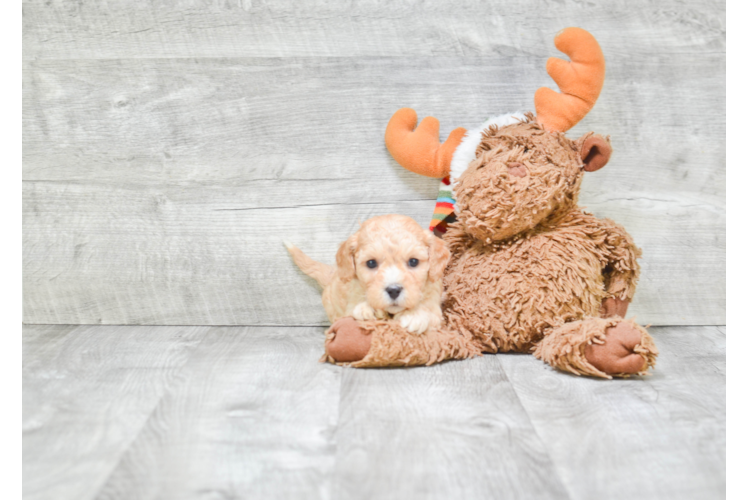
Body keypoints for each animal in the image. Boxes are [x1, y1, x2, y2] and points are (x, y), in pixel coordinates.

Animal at [286, 214, 450, 334]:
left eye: (413, 261)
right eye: (371, 263)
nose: (394, 290)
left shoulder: (436, 308)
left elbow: (430, 314)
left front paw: (414, 315)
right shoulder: (349, 304)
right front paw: (365, 309)